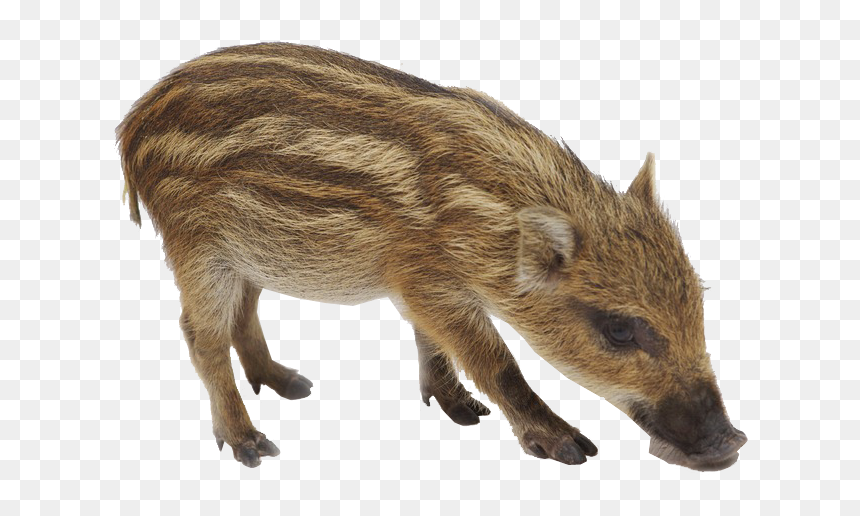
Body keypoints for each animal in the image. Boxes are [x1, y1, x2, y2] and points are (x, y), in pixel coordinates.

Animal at [116, 42, 747, 470]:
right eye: (618, 330)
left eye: (700, 304)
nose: (732, 443)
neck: (488, 219)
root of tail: (133, 123)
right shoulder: (428, 280)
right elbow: (496, 361)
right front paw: (569, 447)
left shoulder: (419, 287)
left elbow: (433, 341)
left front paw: (460, 411)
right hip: (197, 248)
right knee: (201, 335)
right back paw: (252, 445)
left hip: (247, 254)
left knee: (245, 313)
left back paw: (291, 384)